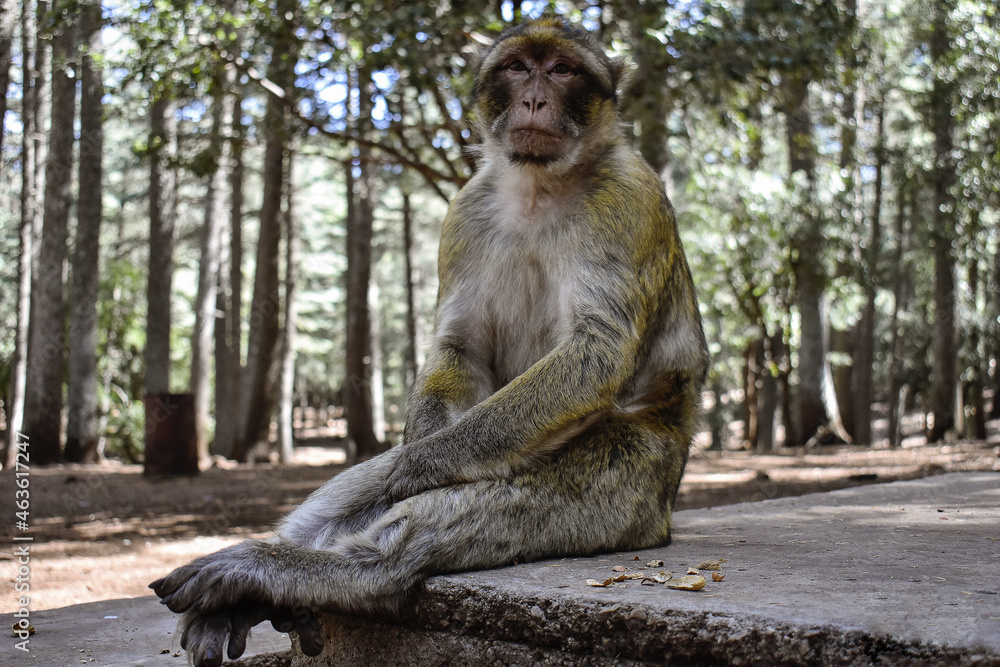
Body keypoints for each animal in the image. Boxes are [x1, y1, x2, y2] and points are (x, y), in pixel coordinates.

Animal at [151, 17, 708, 667]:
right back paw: (259, 585)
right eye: (518, 67)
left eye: (563, 70)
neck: (540, 185)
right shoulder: (464, 210)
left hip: (640, 478)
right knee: (375, 481)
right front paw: (419, 447)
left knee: (501, 500)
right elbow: (460, 347)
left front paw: (424, 463)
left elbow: (597, 349)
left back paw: (313, 571)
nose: (535, 99)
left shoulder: (627, 198)